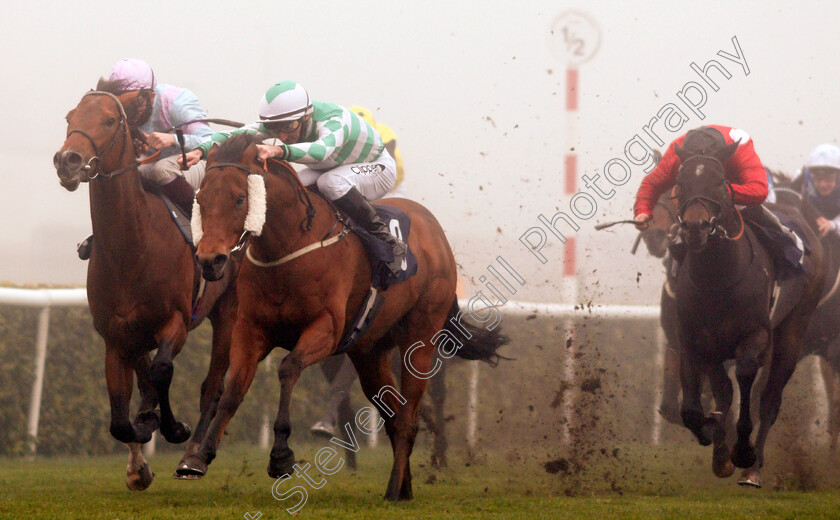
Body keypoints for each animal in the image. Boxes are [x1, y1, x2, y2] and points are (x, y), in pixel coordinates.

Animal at [53, 83, 238, 490]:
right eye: (70, 117)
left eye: (109, 120)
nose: (67, 161)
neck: (132, 246)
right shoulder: (115, 335)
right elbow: (120, 416)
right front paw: (139, 458)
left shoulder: (176, 322)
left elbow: (161, 371)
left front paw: (172, 426)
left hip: (230, 312)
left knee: (213, 386)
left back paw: (193, 454)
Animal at [177, 133, 506, 500]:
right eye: (200, 198)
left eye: (239, 198)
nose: (210, 261)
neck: (286, 248)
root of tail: (437, 234)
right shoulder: (250, 330)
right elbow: (233, 389)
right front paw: (198, 457)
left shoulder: (326, 329)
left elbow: (288, 368)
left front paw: (281, 455)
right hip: (370, 352)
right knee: (393, 416)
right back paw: (402, 488)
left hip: (420, 339)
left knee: (409, 418)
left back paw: (395, 488)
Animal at [672, 143, 824, 488]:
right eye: (680, 183)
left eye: (719, 182)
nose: (696, 228)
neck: (717, 278)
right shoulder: (695, 339)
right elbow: (698, 406)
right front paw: (714, 442)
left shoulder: (754, 336)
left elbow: (744, 379)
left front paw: (742, 451)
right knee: (730, 393)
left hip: (793, 329)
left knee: (770, 397)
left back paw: (754, 468)